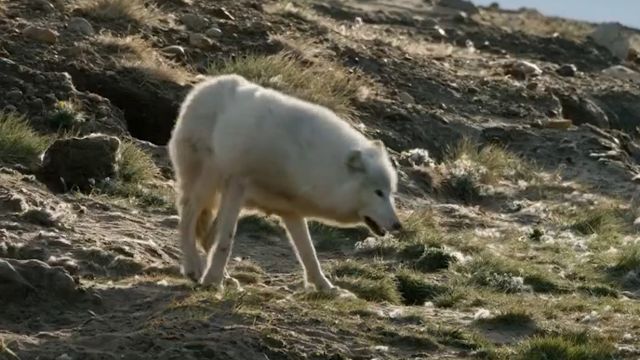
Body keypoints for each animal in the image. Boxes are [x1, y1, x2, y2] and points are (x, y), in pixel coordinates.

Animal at [168, 74, 402, 294]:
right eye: (378, 192)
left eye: (390, 193)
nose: (398, 225)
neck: (309, 161)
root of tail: (205, 86)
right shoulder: (236, 186)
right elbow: (226, 242)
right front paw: (212, 281)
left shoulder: (290, 210)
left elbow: (309, 254)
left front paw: (327, 288)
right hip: (208, 181)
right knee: (187, 218)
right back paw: (193, 268)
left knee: (207, 237)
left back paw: (225, 277)